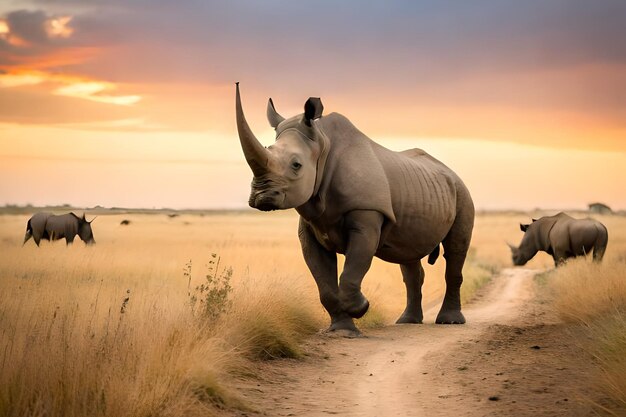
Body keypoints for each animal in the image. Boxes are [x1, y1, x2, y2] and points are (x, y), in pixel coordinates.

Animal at [234, 84, 472, 334]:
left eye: (296, 165)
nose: (261, 197)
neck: (323, 147)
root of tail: (451, 172)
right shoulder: (311, 226)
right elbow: (325, 284)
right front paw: (341, 330)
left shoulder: (367, 215)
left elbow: (353, 268)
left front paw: (361, 308)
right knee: (409, 255)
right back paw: (407, 321)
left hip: (461, 192)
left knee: (455, 250)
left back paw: (450, 321)